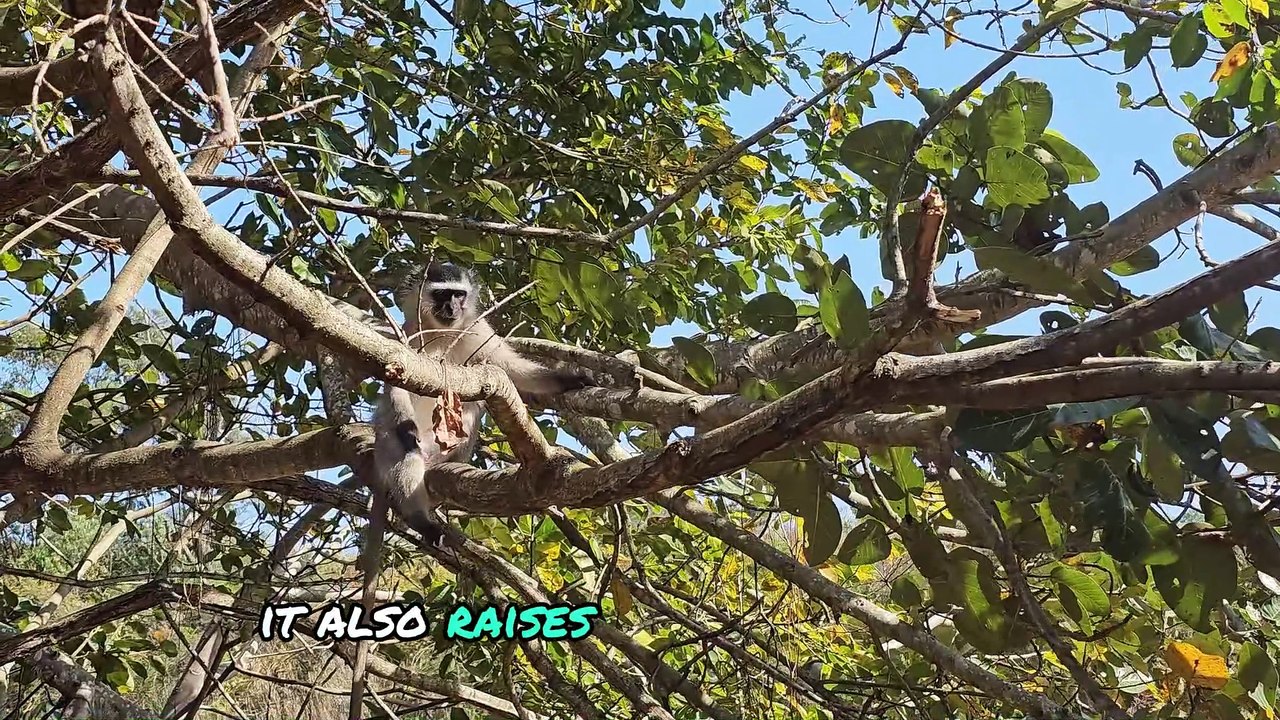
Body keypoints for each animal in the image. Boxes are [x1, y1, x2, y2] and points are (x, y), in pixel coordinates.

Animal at [370, 261, 594, 545]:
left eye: (459, 295)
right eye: (442, 295)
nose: (452, 308)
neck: (442, 332)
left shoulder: (478, 330)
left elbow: (512, 368)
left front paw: (570, 378)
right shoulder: (407, 337)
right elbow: (397, 384)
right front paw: (406, 426)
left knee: (471, 409)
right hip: (386, 449)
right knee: (404, 450)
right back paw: (420, 519)